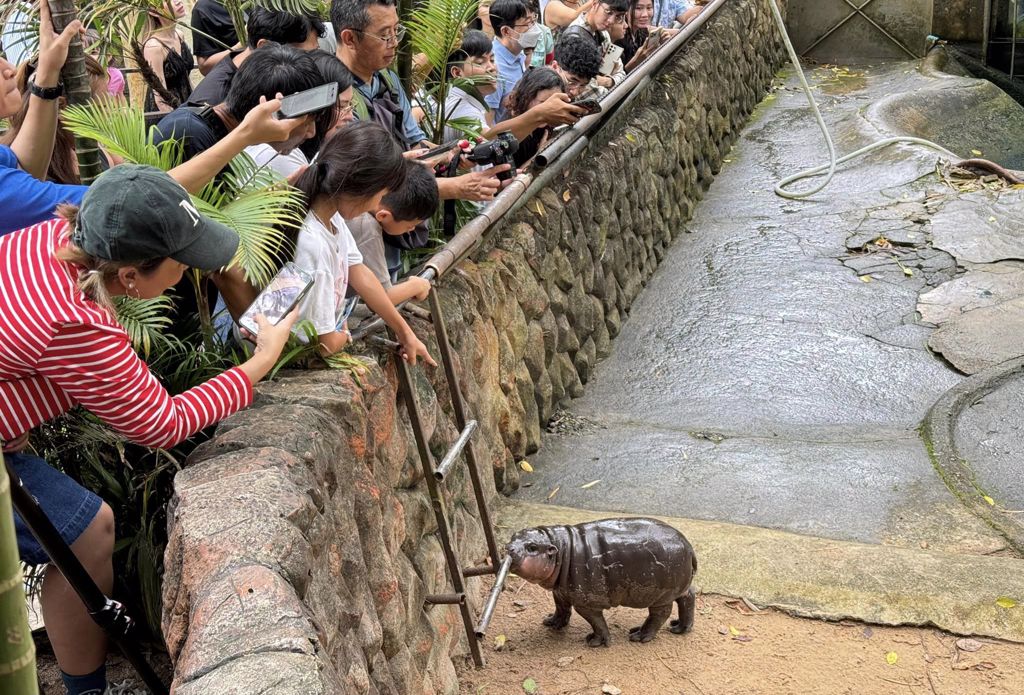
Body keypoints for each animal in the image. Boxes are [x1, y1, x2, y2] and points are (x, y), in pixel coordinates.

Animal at [507, 515, 700, 646]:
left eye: (532, 547)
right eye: (513, 535)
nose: (508, 548)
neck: (560, 548)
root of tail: (689, 546)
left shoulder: (586, 604)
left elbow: (596, 622)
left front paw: (594, 642)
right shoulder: (560, 591)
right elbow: (561, 608)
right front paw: (551, 623)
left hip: (659, 596)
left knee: (660, 614)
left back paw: (638, 636)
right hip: (678, 587)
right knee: (688, 596)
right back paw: (679, 628)